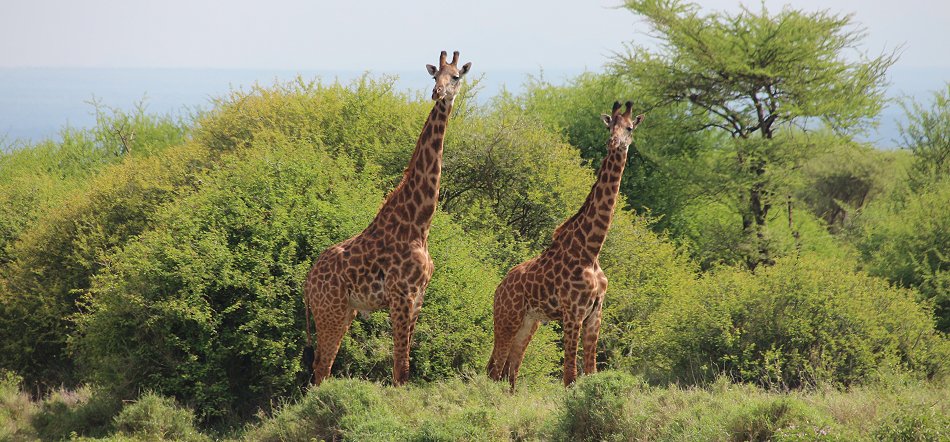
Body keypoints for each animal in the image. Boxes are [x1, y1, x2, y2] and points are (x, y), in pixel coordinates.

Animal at [304, 50, 472, 386]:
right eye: (435, 76)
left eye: (455, 76)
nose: (438, 93)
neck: (419, 224)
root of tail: (307, 283)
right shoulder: (401, 295)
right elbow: (401, 368)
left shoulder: (418, 297)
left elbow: (403, 367)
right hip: (331, 311)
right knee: (321, 369)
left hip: (344, 312)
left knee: (322, 367)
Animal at [490, 101, 648, 390]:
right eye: (610, 125)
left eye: (630, 127)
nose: (614, 142)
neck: (591, 249)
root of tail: (498, 289)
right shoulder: (573, 312)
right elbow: (570, 377)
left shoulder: (595, 314)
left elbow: (591, 372)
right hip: (507, 319)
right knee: (494, 370)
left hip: (529, 323)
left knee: (511, 372)